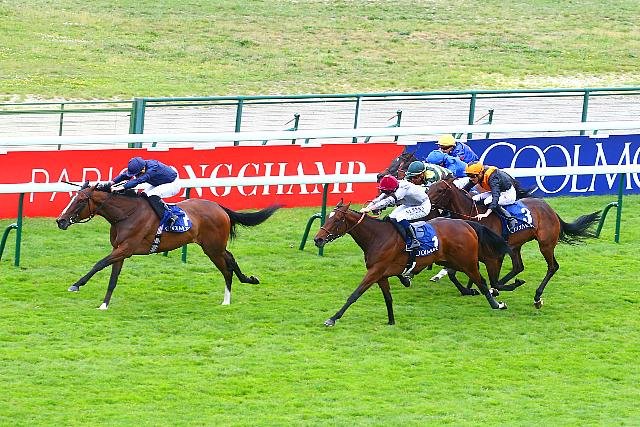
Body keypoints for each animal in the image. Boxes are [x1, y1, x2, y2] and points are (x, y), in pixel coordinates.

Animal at [56, 182, 281, 309]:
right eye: (73, 198)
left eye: (81, 201)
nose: (60, 221)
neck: (125, 215)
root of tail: (219, 207)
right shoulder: (119, 250)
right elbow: (112, 278)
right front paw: (104, 304)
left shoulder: (126, 248)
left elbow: (99, 264)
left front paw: (76, 284)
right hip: (214, 247)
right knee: (231, 259)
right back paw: (247, 282)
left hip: (212, 248)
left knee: (227, 267)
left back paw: (228, 299)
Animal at [313, 201, 512, 327]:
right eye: (327, 217)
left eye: (336, 220)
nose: (318, 239)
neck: (377, 237)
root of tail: (466, 224)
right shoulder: (381, 275)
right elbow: (388, 298)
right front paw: (391, 320)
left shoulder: (375, 271)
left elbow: (355, 294)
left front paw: (333, 318)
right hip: (449, 259)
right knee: (456, 274)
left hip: (467, 262)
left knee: (483, 282)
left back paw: (497, 304)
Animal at [427, 178, 601, 308]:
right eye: (430, 187)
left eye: (440, 190)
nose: (427, 204)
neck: (476, 217)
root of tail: (550, 210)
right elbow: (454, 273)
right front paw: (469, 290)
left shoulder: (494, 254)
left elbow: (492, 279)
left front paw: (483, 289)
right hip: (516, 245)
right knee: (518, 266)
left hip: (545, 244)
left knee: (552, 267)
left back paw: (537, 297)